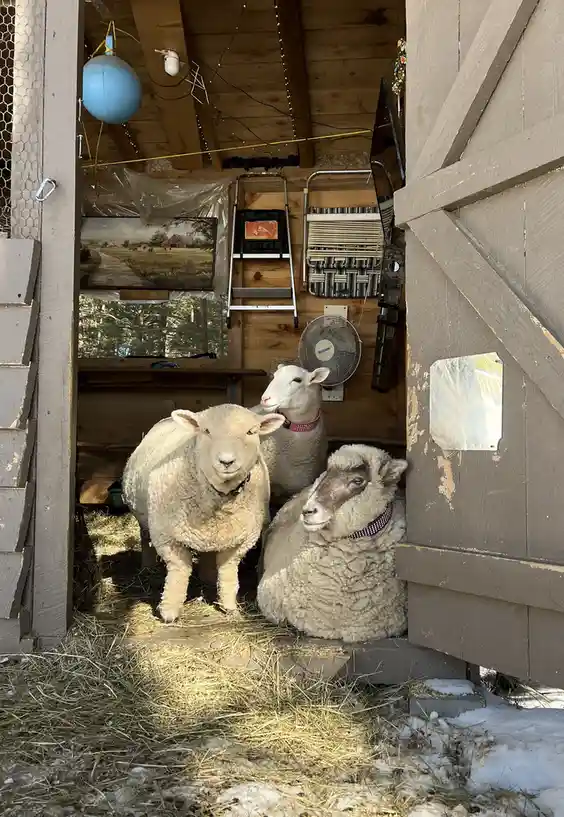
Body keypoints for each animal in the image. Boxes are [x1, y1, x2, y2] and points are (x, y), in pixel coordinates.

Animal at [122, 404, 285, 622]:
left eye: (251, 432)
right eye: (206, 431)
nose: (226, 461)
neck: (220, 498)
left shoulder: (241, 540)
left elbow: (228, 572)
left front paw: (230, 607)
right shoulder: (167, 537)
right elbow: (179, 571)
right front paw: (169, 612)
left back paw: (208, 577)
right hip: (146, 521)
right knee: (145, 538)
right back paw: (147, 567)